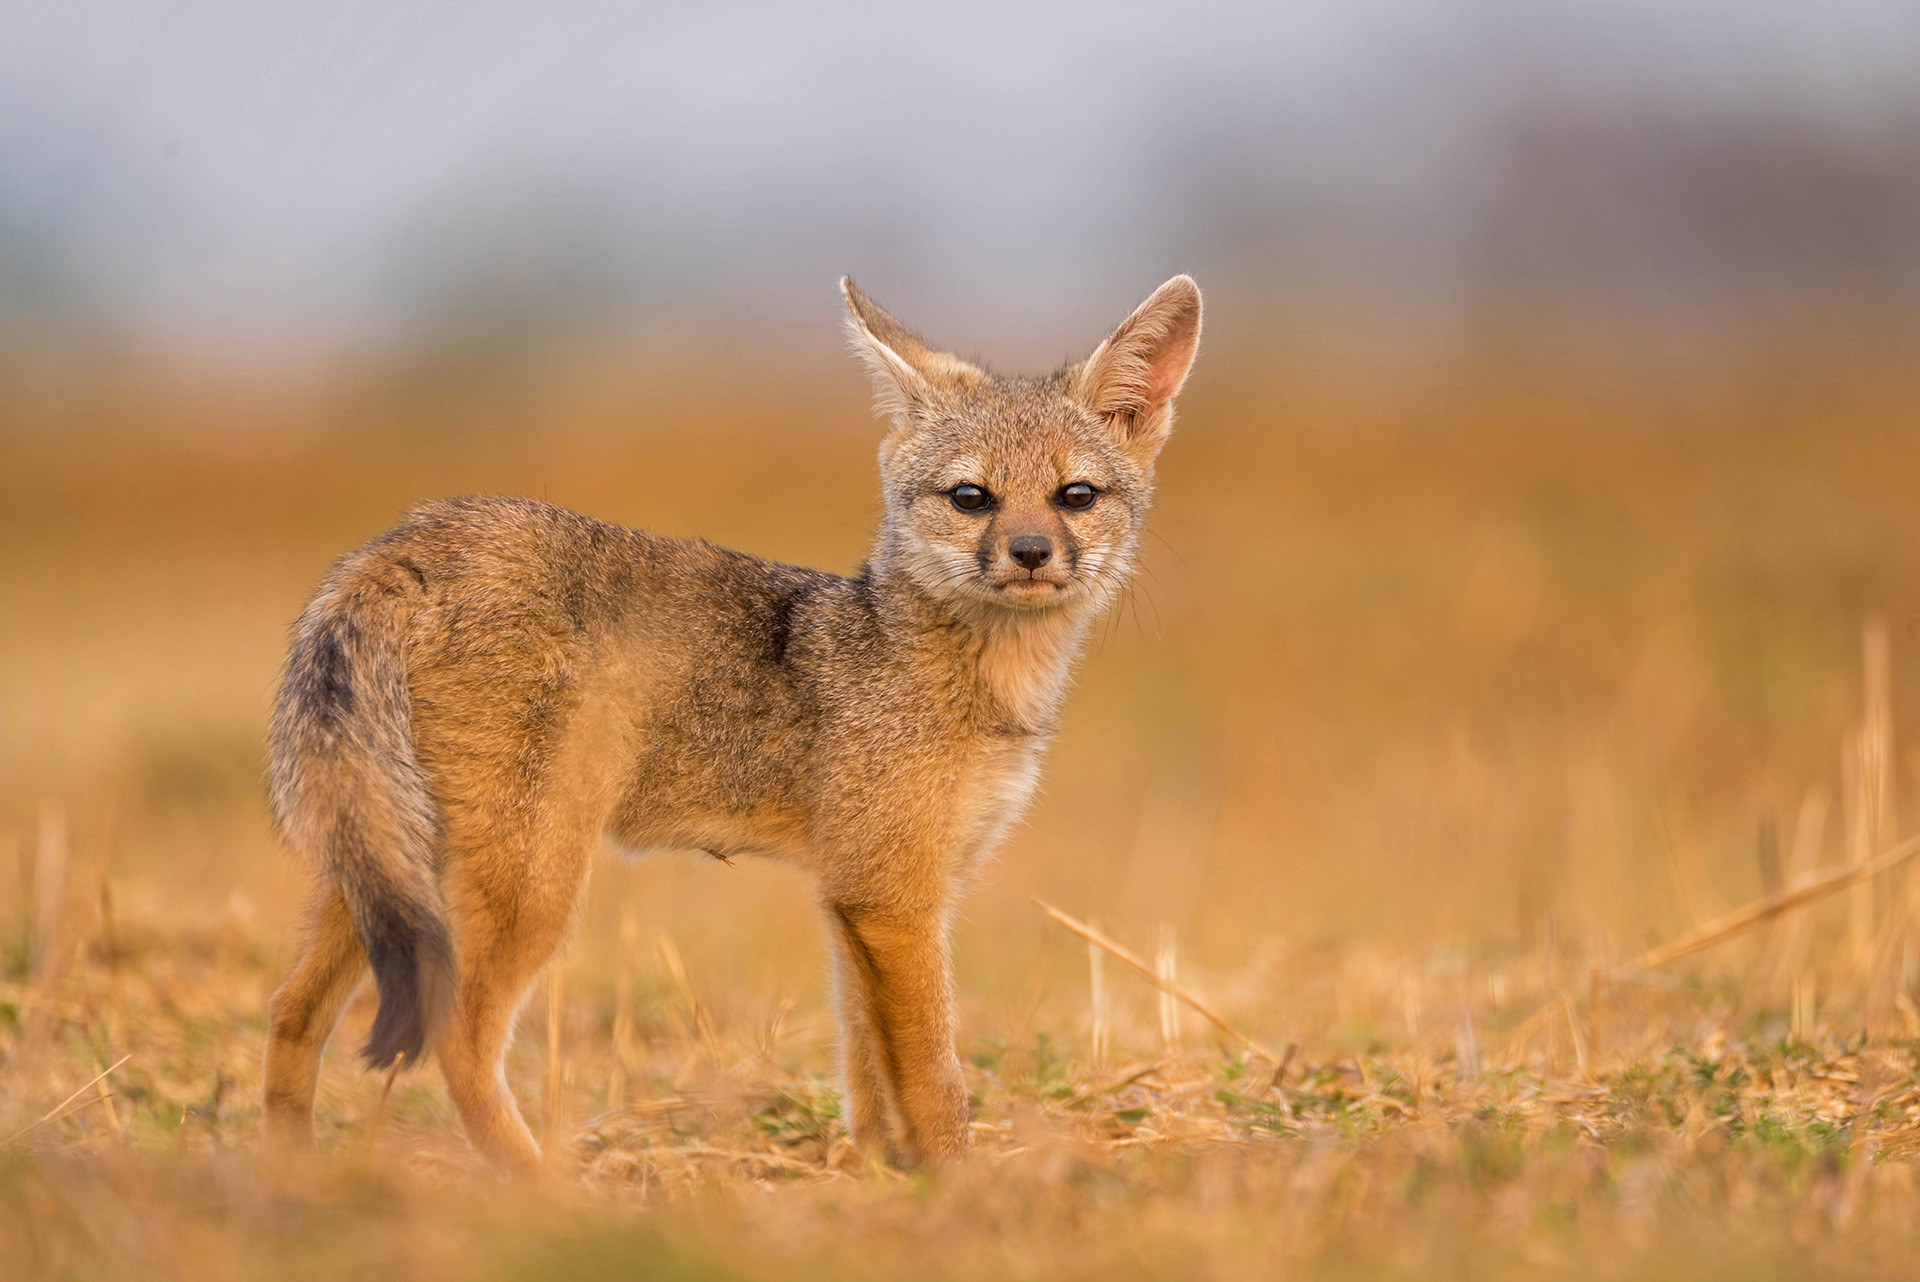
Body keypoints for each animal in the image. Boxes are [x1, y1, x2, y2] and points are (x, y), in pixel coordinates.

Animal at [261, 274, 1202, 1171]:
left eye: (1075, 495)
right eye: (972, 497)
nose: (1031, 553)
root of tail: (414, 537)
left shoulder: (857, 893)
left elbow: (868, 1068)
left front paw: (881, 1172)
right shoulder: (893, 896)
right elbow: (936, 1078)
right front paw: (961, 1183)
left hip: (392, 874)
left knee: (290, 1012)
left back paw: (297, 1173)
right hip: (529, 885)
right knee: (455, 1038)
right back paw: (544, 1187)